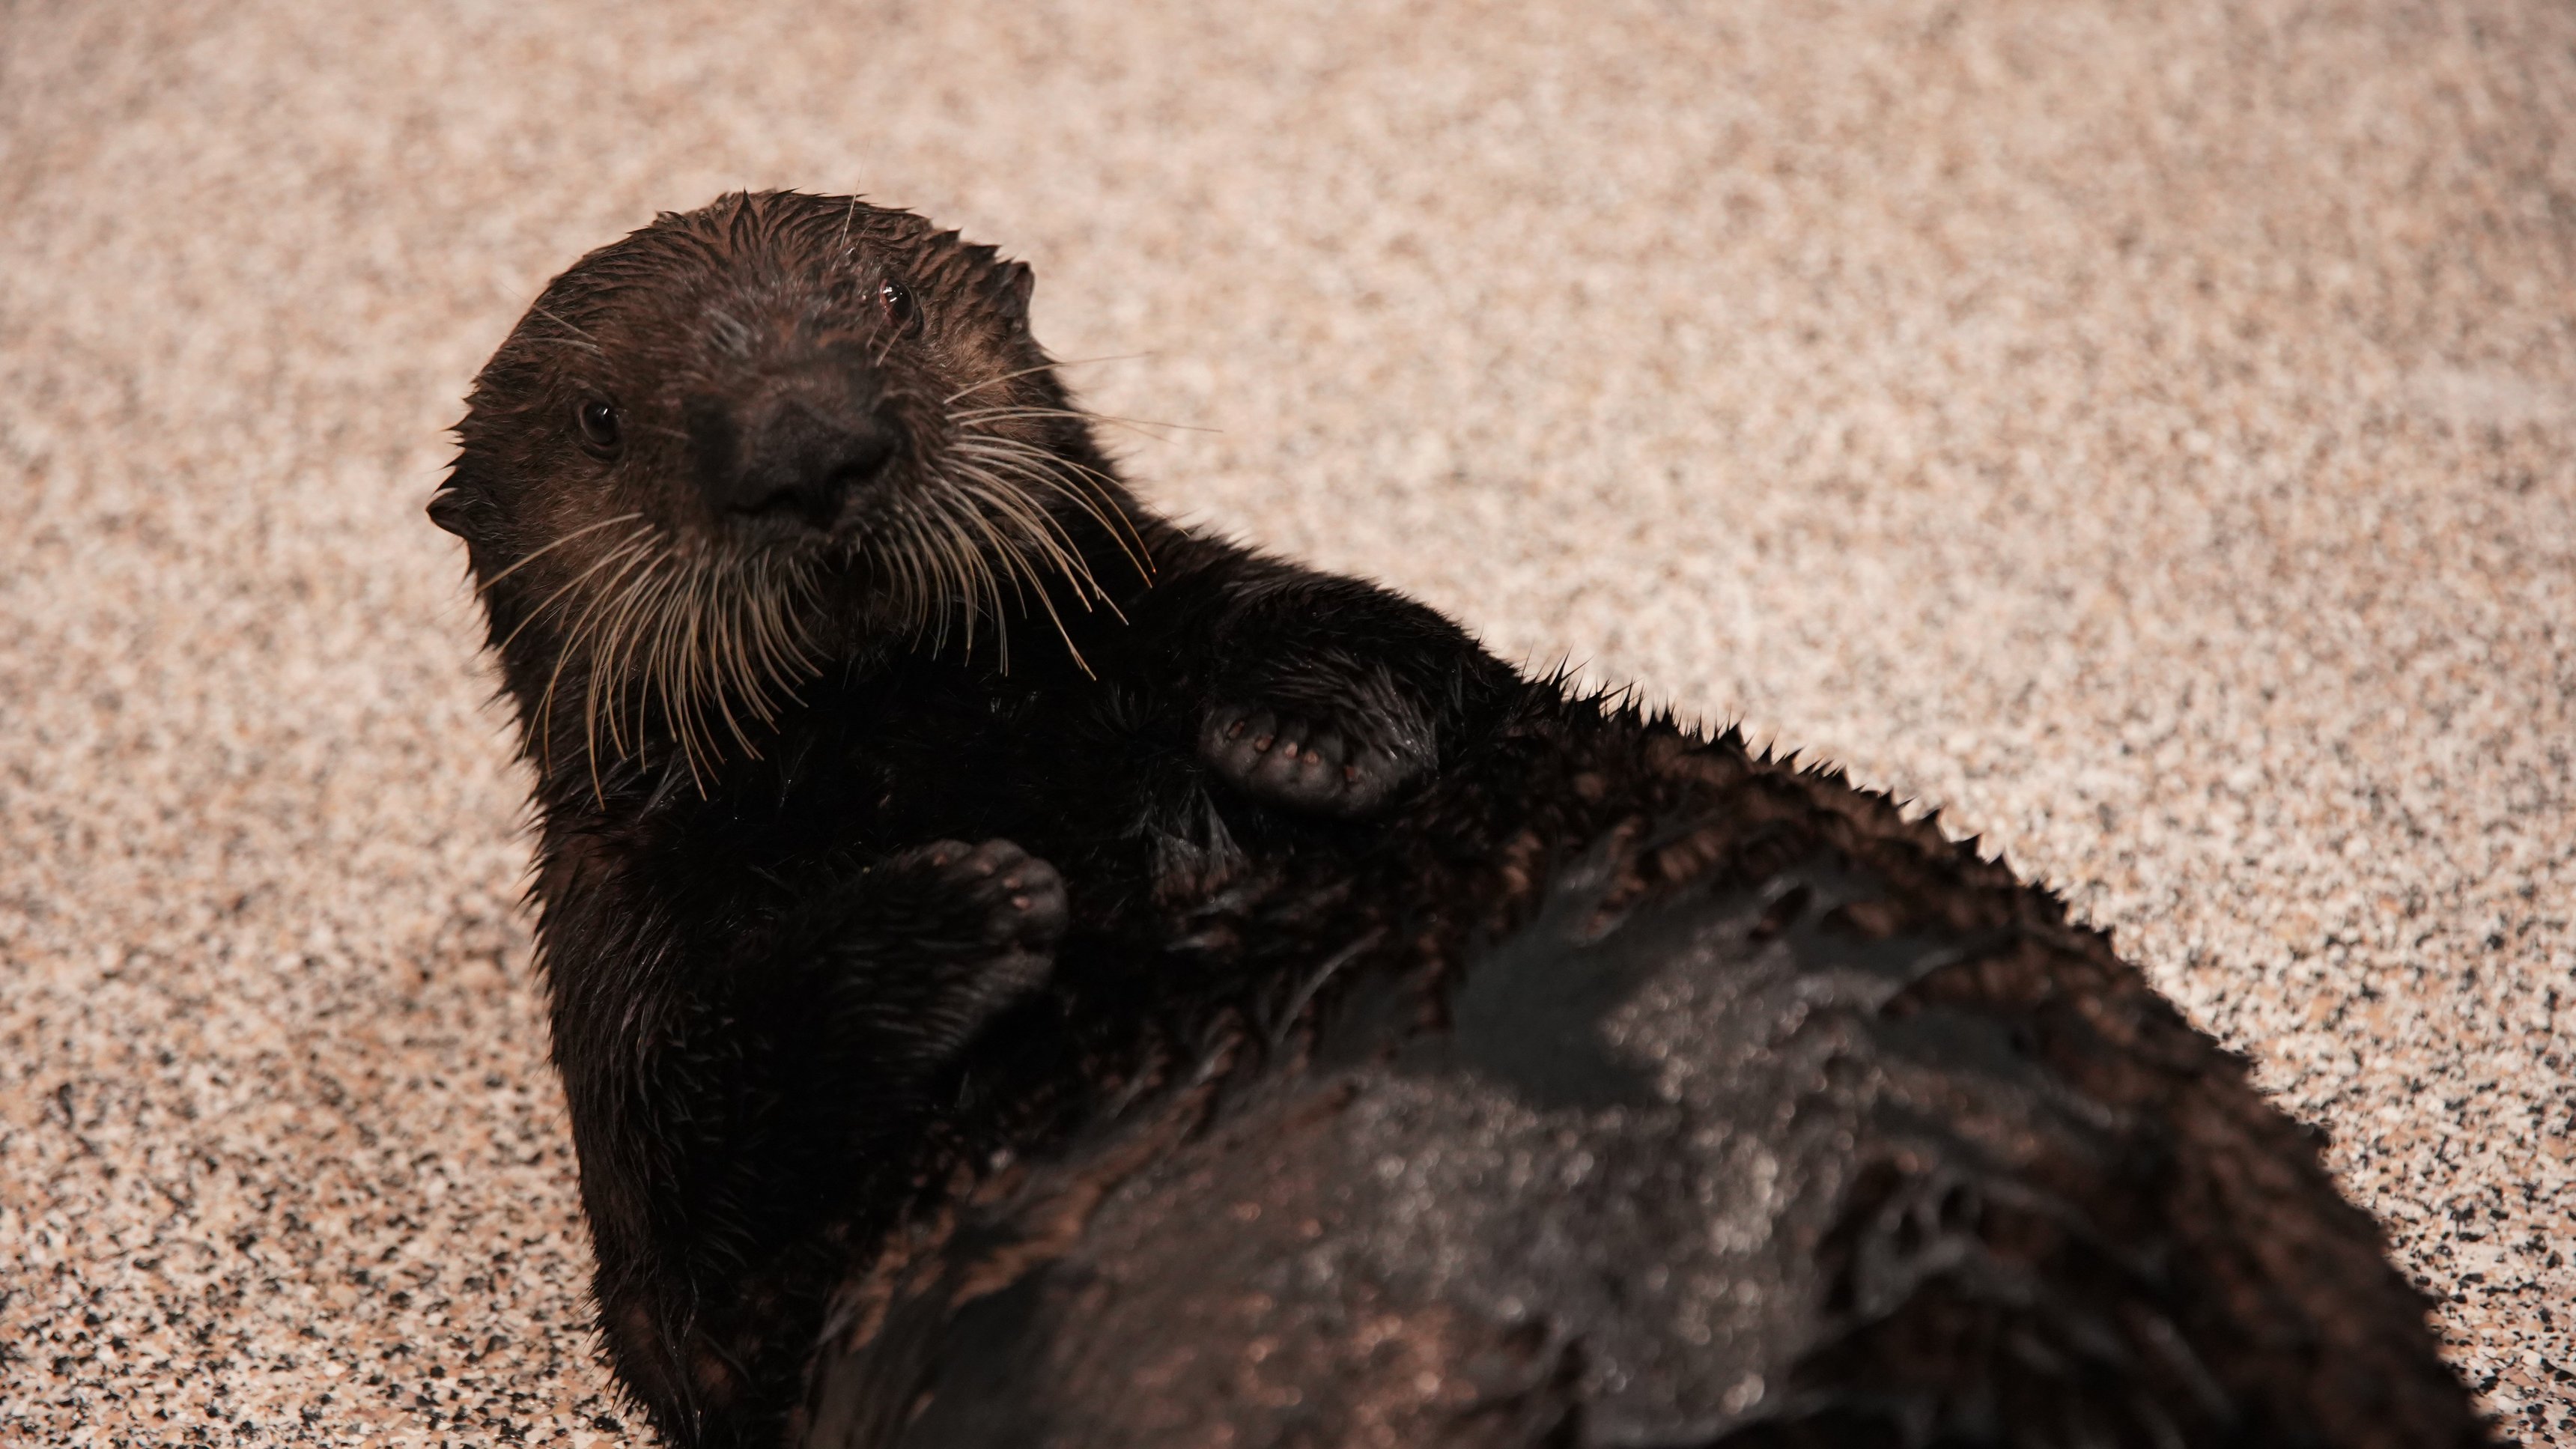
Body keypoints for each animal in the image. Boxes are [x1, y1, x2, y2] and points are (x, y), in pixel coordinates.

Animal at [432, 192, 2485, 1449]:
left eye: (883, 305)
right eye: (604, 419)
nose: (808, 446)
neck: (946, 746)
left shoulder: (1233, 591)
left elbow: (1400, 644)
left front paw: (1303, 739)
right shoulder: (621, 986)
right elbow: (690, 1251)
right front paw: (960, 912)